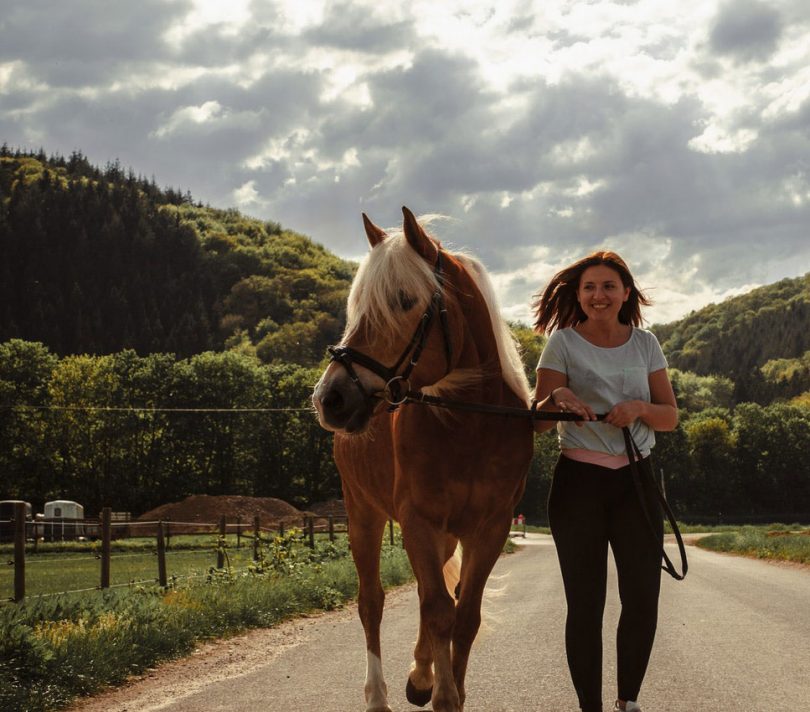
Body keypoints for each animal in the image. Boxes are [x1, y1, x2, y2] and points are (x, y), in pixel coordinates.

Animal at [312, 207, 534, 712]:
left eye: (403, 300)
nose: (330, 398)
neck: (471, 427)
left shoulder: (488, 529)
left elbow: (463, 615)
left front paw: (445, 684)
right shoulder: (417, 521)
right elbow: (438, 611)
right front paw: (444, 694)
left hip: (444, 536)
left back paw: (419, 674)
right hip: (363, 514)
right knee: (371, 602)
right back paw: (379, 695)